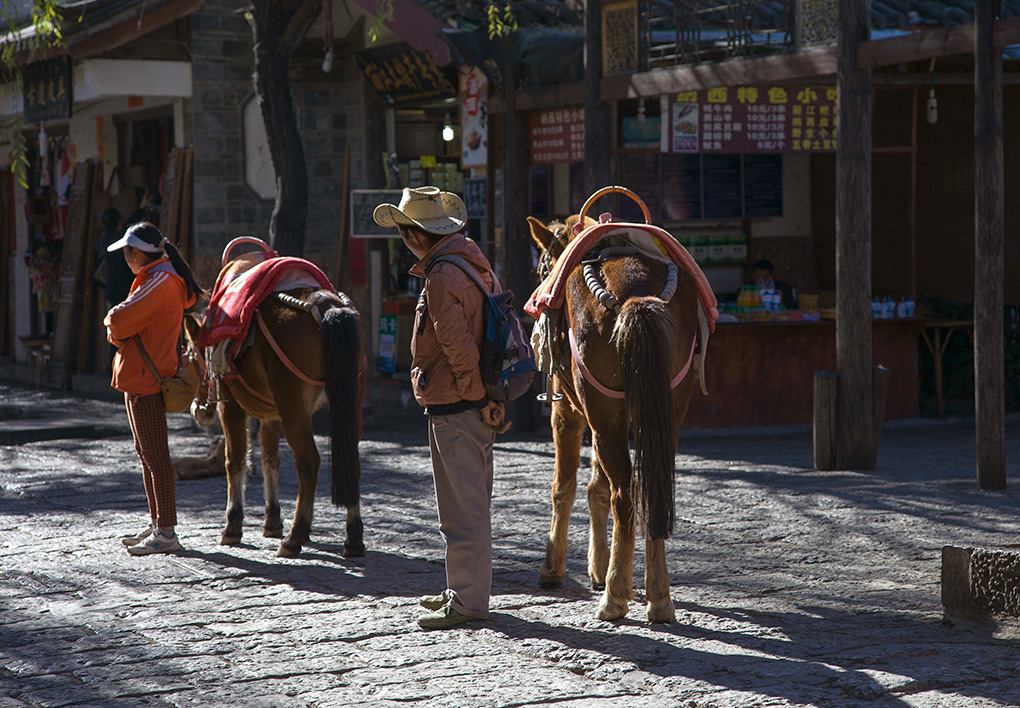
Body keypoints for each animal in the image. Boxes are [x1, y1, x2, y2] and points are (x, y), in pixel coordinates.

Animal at [183, 238, 367, 559]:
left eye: (192, 356)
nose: (199, 410)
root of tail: (327, 308)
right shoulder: (272, 414)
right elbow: (270, 460)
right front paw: (271, 520)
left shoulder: (231, 409)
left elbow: (235, 460)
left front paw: (232, 526)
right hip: (347, 403)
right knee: (350, 461)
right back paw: (353, 538)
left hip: (295, 412)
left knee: (308, 463)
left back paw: (296, 537)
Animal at [526, 185, 718, 624]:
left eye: (543, 267)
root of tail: (634, 295)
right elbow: (598, 484)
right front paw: (600, 565)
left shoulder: (568, 414)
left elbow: (566, 486)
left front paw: (554, 567)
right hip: (662, 414)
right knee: (651, 491)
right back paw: (658, 596)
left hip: (602, 415)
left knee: (624, 497)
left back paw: (615, 597)